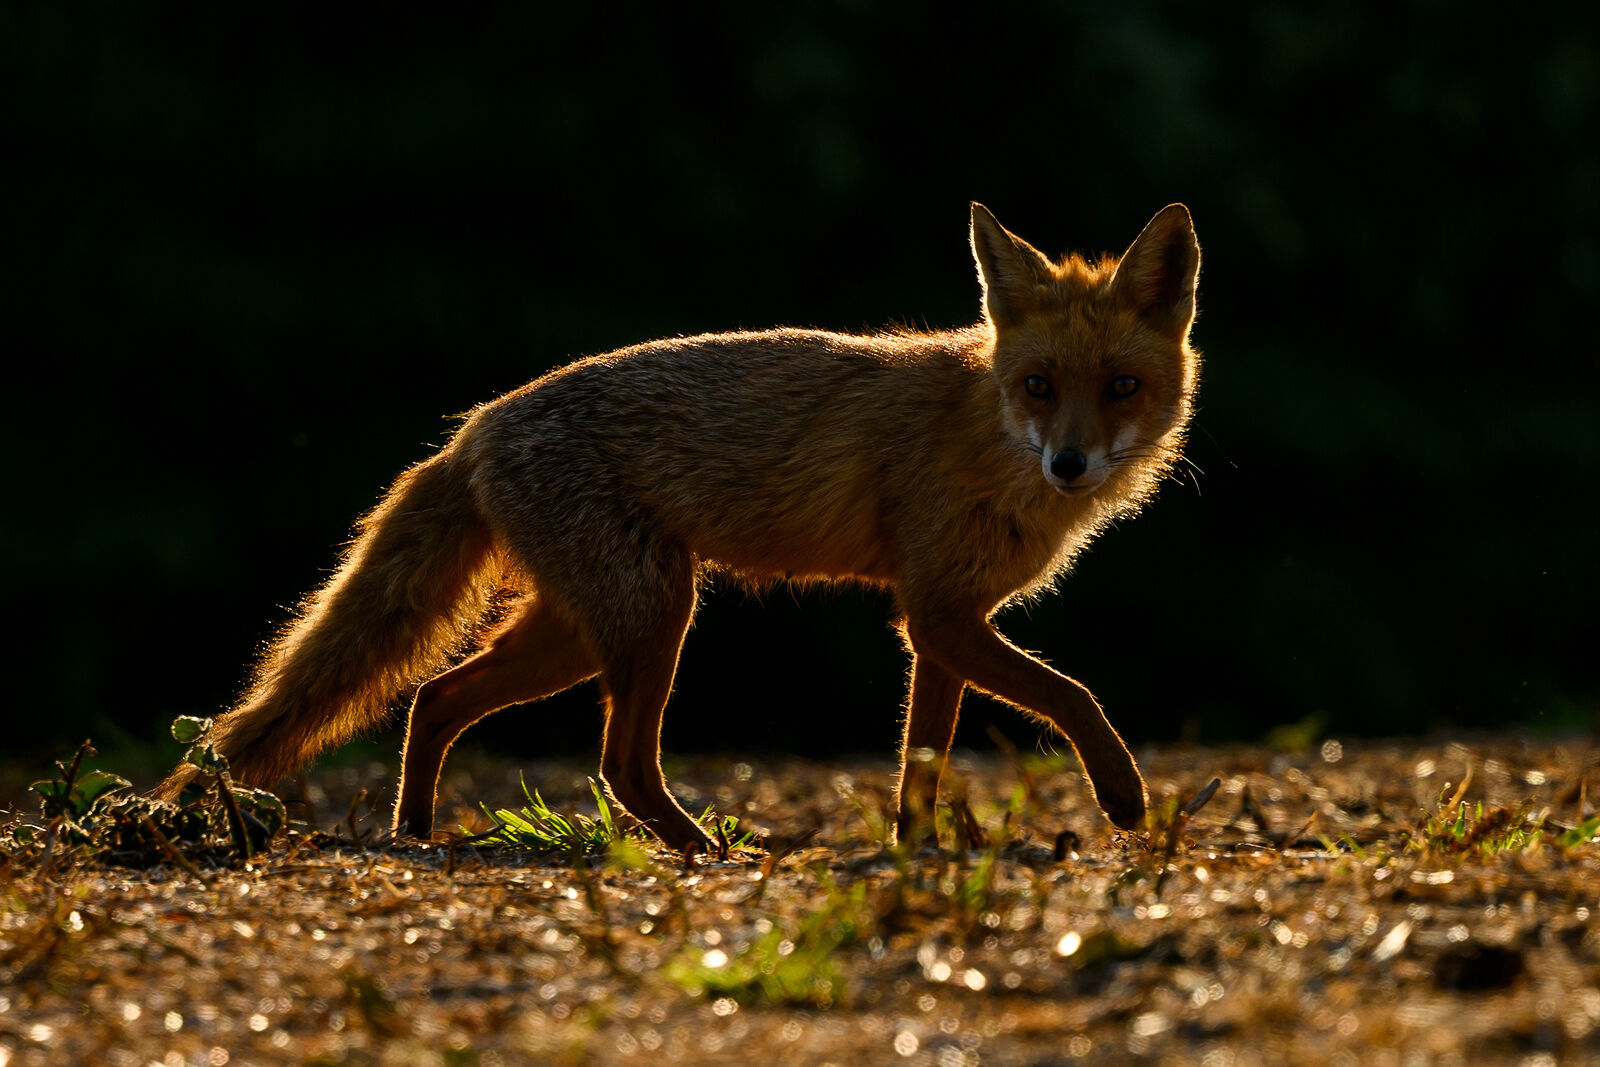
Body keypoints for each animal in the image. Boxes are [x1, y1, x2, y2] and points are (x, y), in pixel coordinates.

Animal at [155, 203, 1201, 853]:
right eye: (1038, 386)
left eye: (1120, 386)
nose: (1069, 463)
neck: (986, 436)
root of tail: (479, 421)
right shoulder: (938, 613)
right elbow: (1071, 694)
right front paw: (1123, 794)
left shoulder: (944, 621)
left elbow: (925, 764)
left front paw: (917, 854)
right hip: (653, 617)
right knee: (616, 763)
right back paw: (706, 849)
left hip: (579, 632)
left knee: (435, 699)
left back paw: (416, 832)